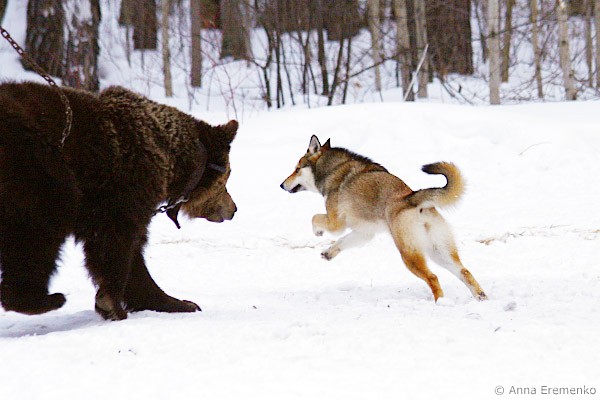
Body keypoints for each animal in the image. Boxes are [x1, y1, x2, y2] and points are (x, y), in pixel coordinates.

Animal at [0, 81, 238, 320]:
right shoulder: (123, 188)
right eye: (227, 177)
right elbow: (116, 242)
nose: (233, 208)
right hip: (37, 165)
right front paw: (112, 302)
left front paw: (174, 302)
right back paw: (41, 298)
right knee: (40, 225)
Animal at [280, 135, 487, 301]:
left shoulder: (336, 223)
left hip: (409, 254)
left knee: (433, 277)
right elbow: (342, 242)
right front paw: (328, 253)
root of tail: (411, 198)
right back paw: (481, 298)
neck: (332, 169)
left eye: (297, 169)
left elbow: (315, 218)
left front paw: (318, 232)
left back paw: (440, 302)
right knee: (464, 271)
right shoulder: (364, 233)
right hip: (439, 250)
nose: (282, 185)